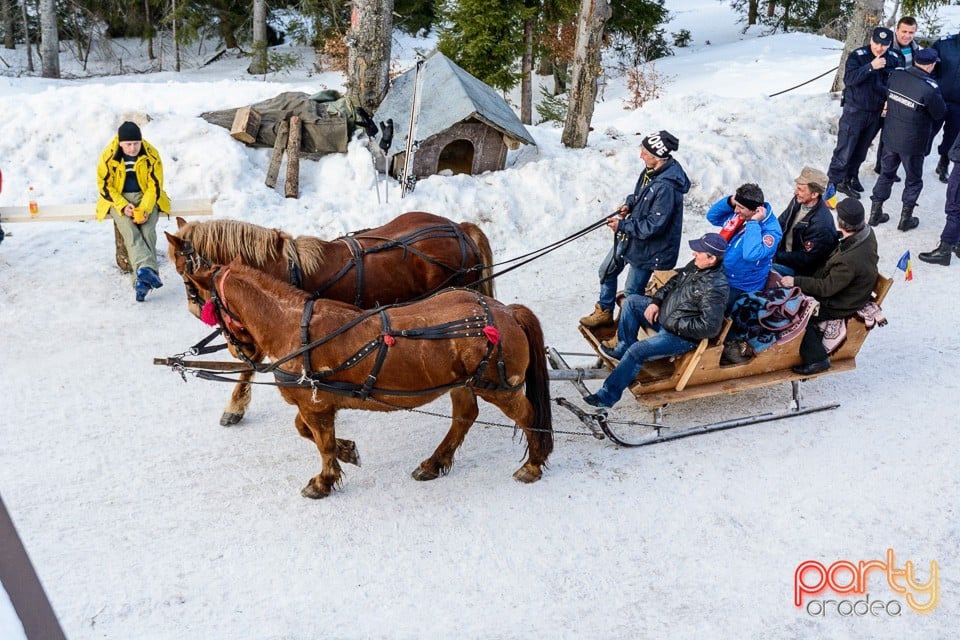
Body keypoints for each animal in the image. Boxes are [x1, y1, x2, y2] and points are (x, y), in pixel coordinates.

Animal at [165, 212, 496, 428]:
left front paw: (235, 406)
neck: (282, 267)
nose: (194, 310)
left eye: (185, 274)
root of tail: (460, 227)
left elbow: (252, 363)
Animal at [184, 262, 556, 498]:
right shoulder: (315, 402)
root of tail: (506, 312)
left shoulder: (315, 406)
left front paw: (323, 481)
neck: (293, 328)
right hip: (462, 383)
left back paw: (533, 464)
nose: (239, 349)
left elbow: (321, 443)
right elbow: (306, 432)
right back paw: (433, 463)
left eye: (201, 300)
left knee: (527, 415)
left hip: (499, 387)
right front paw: (348, 451)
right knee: (464, 417)